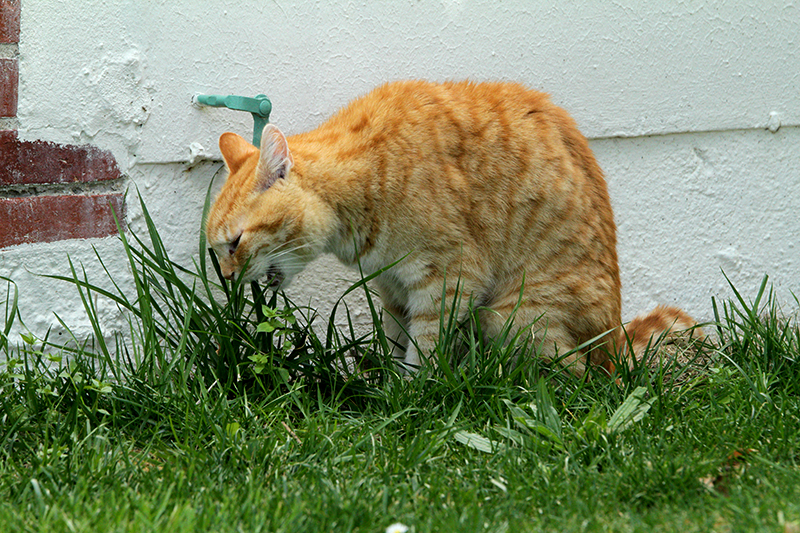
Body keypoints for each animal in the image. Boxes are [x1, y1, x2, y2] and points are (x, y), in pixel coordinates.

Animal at [206, 81, 700, 376]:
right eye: (216, 250)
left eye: (236, 243)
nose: (226, 279)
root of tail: (615, 346)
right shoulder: (393, 288)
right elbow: (396, 339)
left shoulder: (448, 280)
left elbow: (423, 349)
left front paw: (408, 395)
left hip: (510, 315)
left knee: (573, 380)